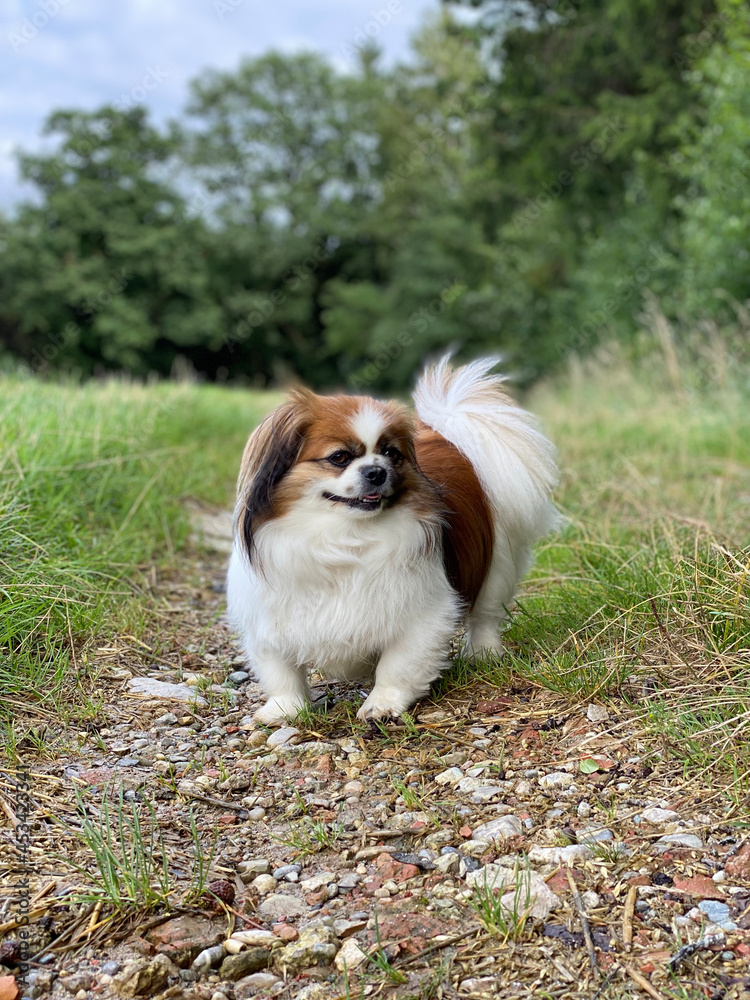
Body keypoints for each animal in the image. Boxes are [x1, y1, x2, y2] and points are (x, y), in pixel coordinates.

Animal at [228, 360, 560, 728]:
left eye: (391, 454)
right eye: (339, 457)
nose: (376, 471)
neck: (344, 535)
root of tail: (445, 435)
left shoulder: (424, 613)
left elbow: (398, 664)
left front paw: (381, 704)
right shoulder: (268, 619)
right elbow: (281, 672)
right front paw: (283, 709)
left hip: (496, 565)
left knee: (485, 614)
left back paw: (482, 653)